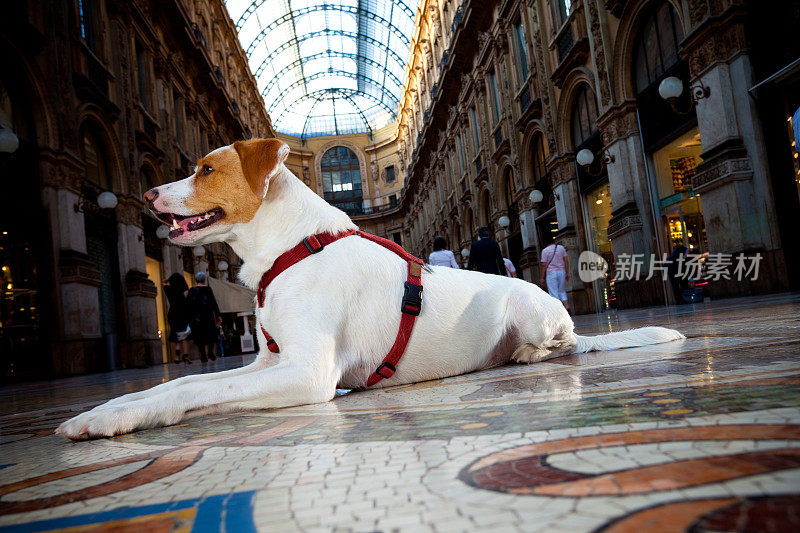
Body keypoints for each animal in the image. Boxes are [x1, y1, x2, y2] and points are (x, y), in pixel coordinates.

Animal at [54, 138, 680, 440]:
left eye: (206, 169)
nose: (148, 193)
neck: (292, 249)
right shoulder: (266, 363)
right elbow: (173, 384)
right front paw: (107, 409)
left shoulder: (306, 373)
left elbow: (192, 392)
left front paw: (117, 420)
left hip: (530, 305)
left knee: (565, 346)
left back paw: (528, 354)